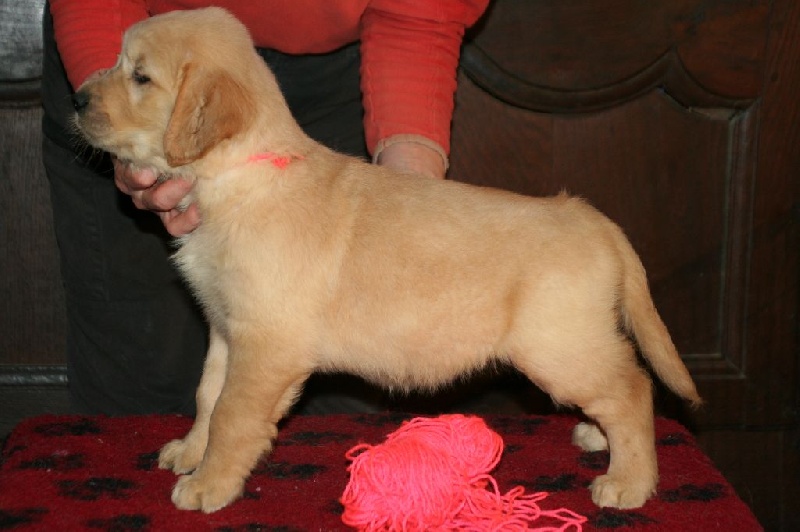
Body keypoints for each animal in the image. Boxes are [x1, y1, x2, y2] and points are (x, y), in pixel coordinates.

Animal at [72, 7, 701, 514]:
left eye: (140, 76)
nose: (76, 98)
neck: (240, 174)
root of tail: (592, 218)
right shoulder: (227, 330)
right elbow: (208, 396)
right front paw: (190, 452)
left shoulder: (267, 342)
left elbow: (233, 415)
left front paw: (210, 486)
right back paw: (600, 438)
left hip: (557, 345)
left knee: (634, 388)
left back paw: (629, 481)